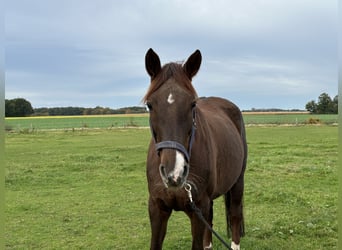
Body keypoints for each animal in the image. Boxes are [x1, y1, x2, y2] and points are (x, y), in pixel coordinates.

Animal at [143, 47, 247, 249]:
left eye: (192, 104)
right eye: (150, 105)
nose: (174, 173)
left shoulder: (198, 209)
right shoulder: (157, 208)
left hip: (238, 181)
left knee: (235, 215)